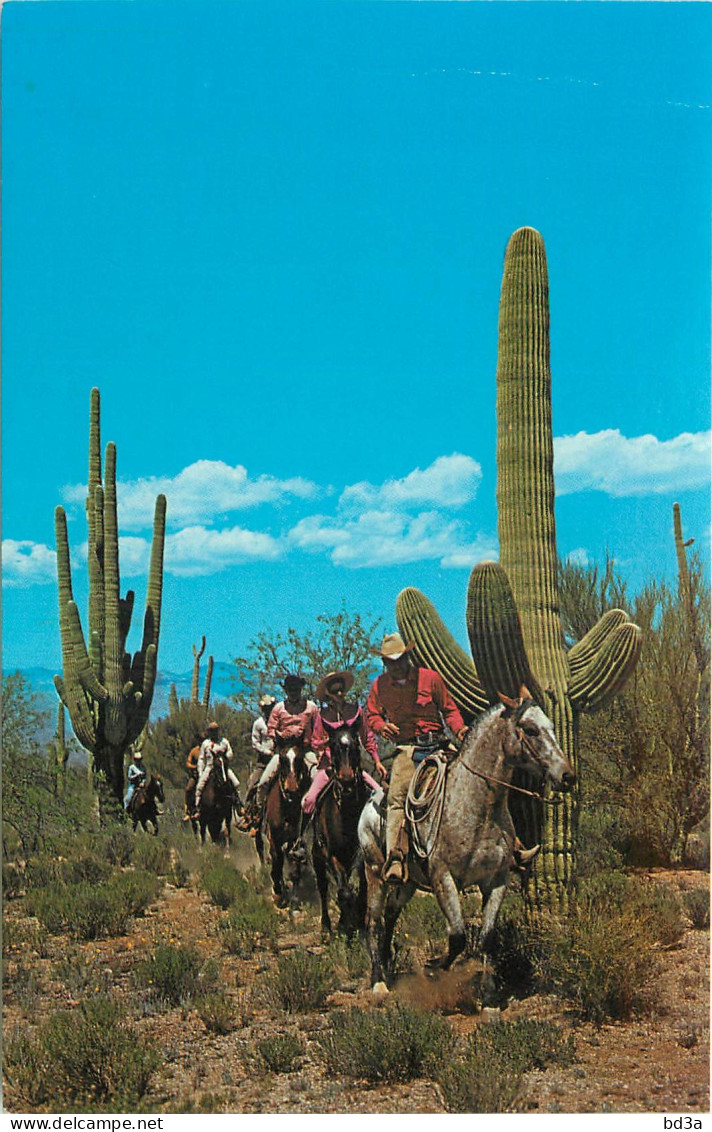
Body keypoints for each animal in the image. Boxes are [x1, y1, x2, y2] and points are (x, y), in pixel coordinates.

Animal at [258, 733, 307, 910]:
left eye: (299, 758)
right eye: (282, 758)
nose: (291, 789)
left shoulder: (294, 839)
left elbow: (294, 869)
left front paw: (293, 897)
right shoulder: (274, 838)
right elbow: (276, 864)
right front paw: (278, 895)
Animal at [310, 724, 366, 937]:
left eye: (356, 745)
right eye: (332, 746)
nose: (347, 781)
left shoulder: (359, 853)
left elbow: (354, 888)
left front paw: (356, 923)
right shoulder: (331, 855)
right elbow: (344, 891)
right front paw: (347, 926)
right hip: (317, 859)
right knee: (323, 888)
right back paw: (326, 929)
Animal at [357, 692, 575, 1005]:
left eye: (553, 727)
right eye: (531, 729)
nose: (567, 776)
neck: (477, 807)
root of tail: (372, 798)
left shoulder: (497, 881)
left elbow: (487, 938)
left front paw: (490, 996)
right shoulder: (443, 878)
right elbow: (458, 936)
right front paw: (433, 968)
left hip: (407, 884)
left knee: (389, 918)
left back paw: (389, 969)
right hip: (375, 872)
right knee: (373, 922)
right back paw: (379, 982)